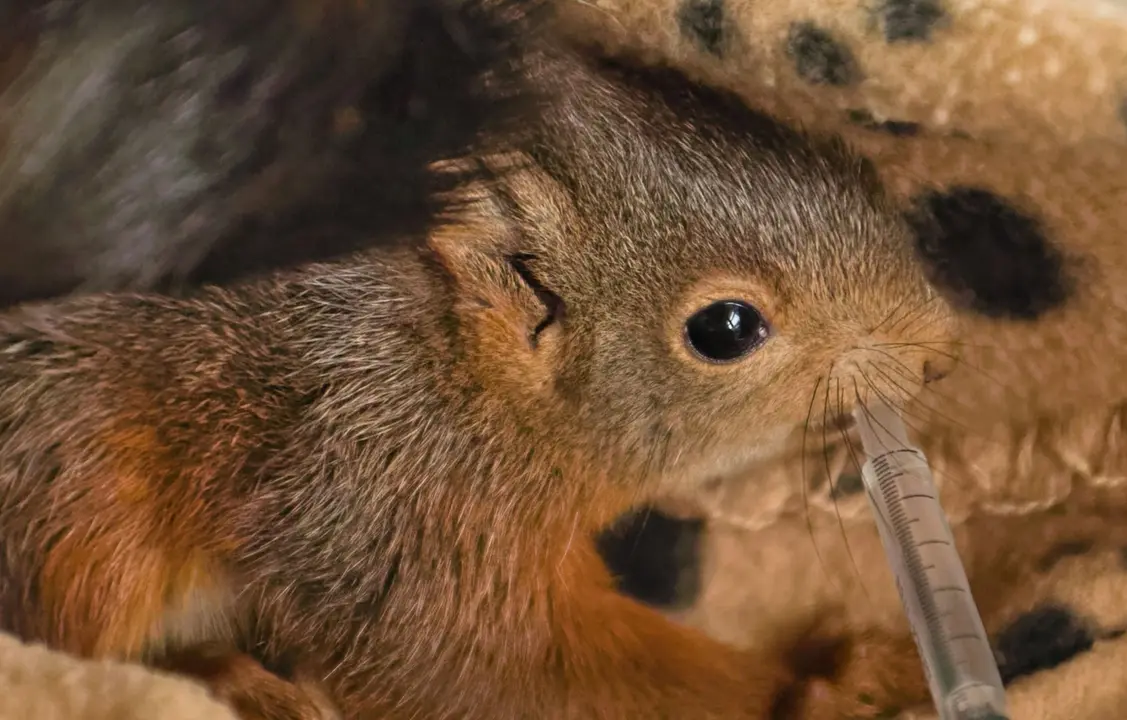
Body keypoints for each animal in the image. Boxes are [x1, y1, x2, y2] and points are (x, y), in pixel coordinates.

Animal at [0, 40, 955, 720]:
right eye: (725, 329)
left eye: (849, 167)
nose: (934, 353)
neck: (459, 369)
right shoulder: (381, 490)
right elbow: (493, 667)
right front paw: (832, 692)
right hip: (81, 502)